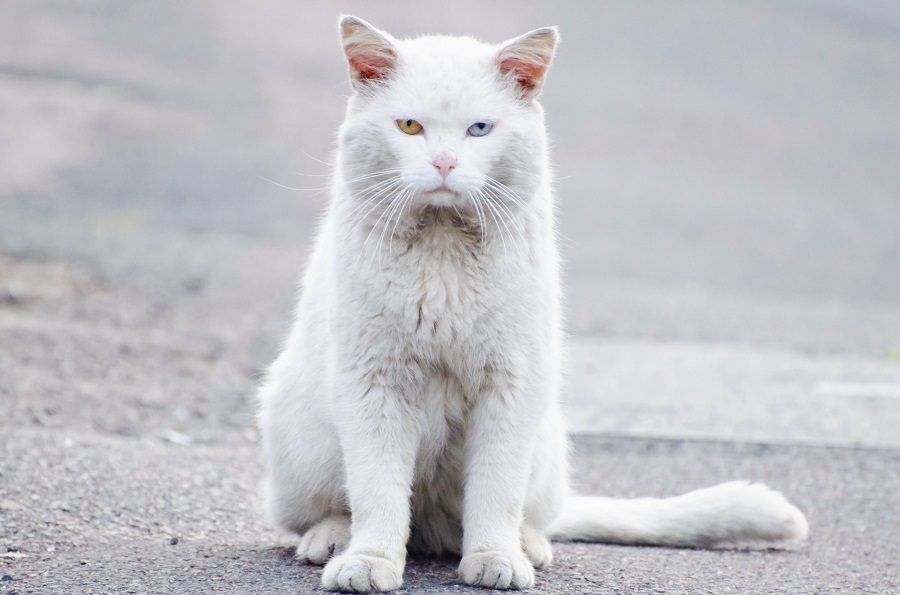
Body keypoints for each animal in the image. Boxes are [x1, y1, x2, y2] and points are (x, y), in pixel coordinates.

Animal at [258, 15, 808, 592]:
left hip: (545, 439)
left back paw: (527, 545)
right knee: (327, 510)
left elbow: (496, 491)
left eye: (480, 129)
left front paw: (495, 559)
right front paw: (369, 562)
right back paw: (332, 539)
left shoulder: (512, 383)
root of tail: (430, 527)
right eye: (410, 126)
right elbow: (378, 490)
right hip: (303, 438)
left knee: (522, 513)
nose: (444, 163)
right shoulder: (374, 384)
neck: (443, 242)